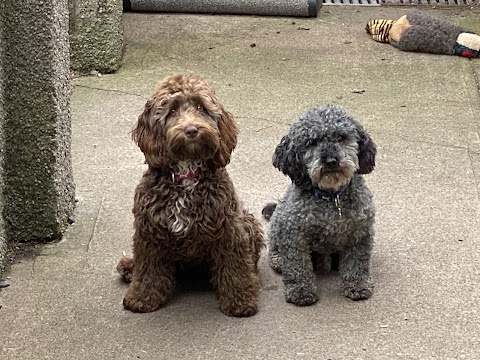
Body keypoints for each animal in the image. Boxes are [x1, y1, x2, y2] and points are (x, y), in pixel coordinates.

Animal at [117, 74, 266, 316]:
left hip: (247, 220)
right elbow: (148, 269)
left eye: (200, 107)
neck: (186, 174)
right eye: (172, 110)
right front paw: (142, 297)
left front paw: (240, 300)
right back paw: (130, 266)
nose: (192, 130)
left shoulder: (229, 231)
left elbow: (235, 269)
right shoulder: (149, 233)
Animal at [264, 104, 376, 306]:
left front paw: (358, 285)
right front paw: (300, 291)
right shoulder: (294, 236)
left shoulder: (360, 232)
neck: (331, 197)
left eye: (341, 137)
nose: (331, 161)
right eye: (312, 142)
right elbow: (297, 266)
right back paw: (279, 260)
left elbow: (358, 262)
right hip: (278, 224)